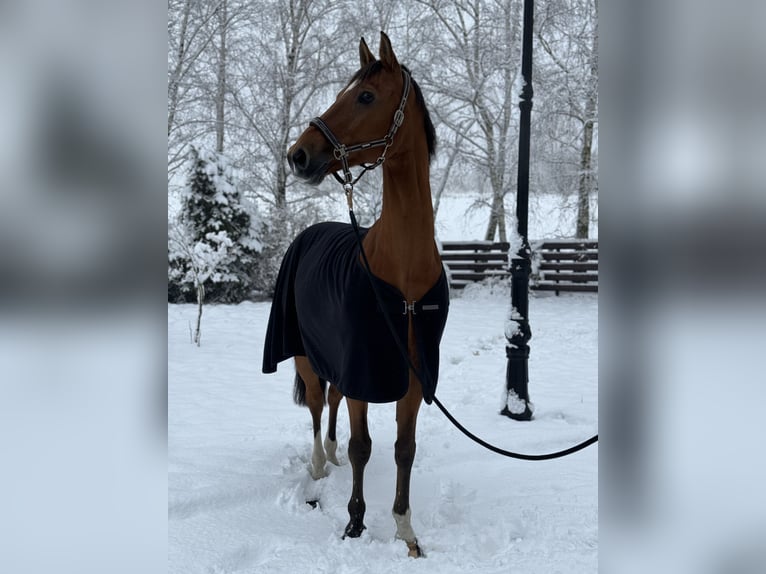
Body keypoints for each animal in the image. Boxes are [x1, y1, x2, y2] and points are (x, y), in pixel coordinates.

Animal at [262, 31, 450, 560]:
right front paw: (354, 523)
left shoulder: (412, 377)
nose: (299, 155)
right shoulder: (365, 368)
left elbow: (403, 449)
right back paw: (318, 465)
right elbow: (363, 446)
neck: (402, 275)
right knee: (317, 405)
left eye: (365, 96)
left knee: (331, 400)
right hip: (304, 353)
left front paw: (406, 532)